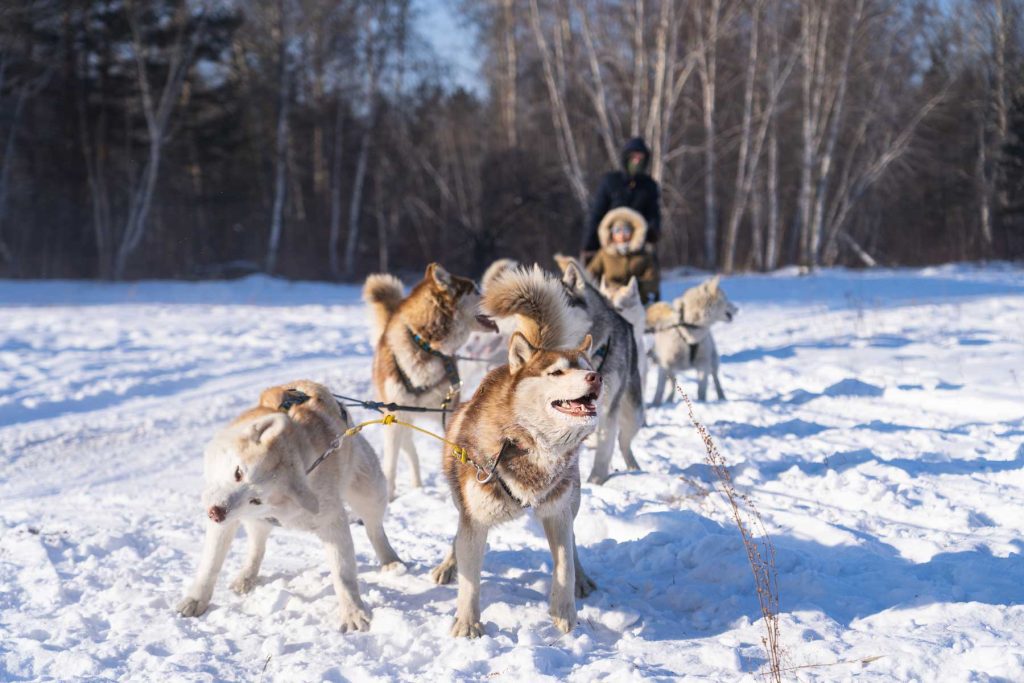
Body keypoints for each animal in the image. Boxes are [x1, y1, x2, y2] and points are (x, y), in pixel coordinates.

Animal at [174, 378, 401, 630]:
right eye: (238, 473)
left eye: (256, 499)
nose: (216, 513)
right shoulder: (228, 522)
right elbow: (211, 563)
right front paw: (196, 599)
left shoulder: (332, 524)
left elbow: (343, 574)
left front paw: (352, 611)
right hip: (255, 520)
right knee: (257, 547)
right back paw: (246, 576)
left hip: (369, 492)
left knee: (374, 528)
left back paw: (390, 560)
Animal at [366, 264, 497, 499]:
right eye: (474, 289)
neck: (426, 346)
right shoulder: (394, 416)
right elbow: (390, 465)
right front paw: (389, 498)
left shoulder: (448, 412)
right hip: (398, 418)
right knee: (409, 451)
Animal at [430, 264, 598, 638]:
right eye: (557, 372)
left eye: (587, 366)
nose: (595, 377)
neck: (526, 442)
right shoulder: (474, 519)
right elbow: (470, 580)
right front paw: (467, 623)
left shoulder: (556, 513)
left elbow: (564, 564)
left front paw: (564, 610)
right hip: (461, 500)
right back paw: (448, 565)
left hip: (571, 500)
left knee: (574, 541)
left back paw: (583, 578)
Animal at [557, 255, 643, 485]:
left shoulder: (608, 408)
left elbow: (605, 447)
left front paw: (596, 480)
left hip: (633, 414)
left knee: (623, 440)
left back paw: (633, 467)